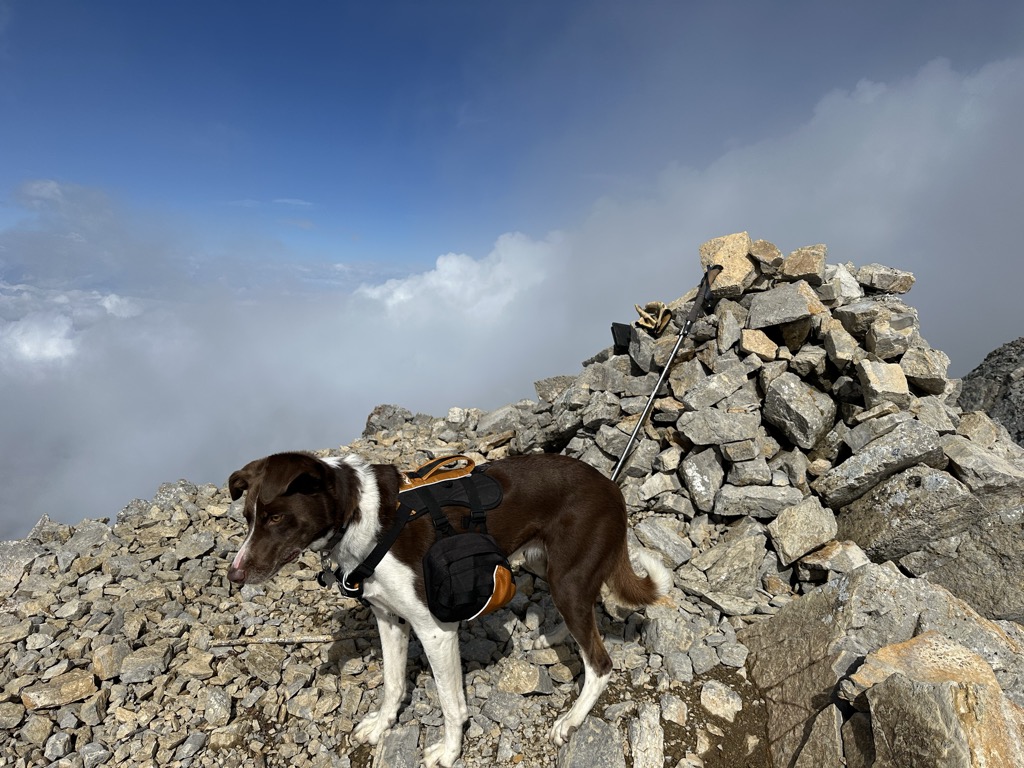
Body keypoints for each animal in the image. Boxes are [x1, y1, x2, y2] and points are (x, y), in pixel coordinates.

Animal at [225, 450, 671, 768]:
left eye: (276, 517)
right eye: (248, 518)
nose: (235, 574)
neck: (361, 516)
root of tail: (612, 489)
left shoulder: (435, 630)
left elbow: (451, 702)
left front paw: (449, 751)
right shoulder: (389, 618)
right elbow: (393, 682)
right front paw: (382, 724)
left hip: (569, 580)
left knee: (600, 662)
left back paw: (571, 720)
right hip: (547, 566)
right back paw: (557, 638)